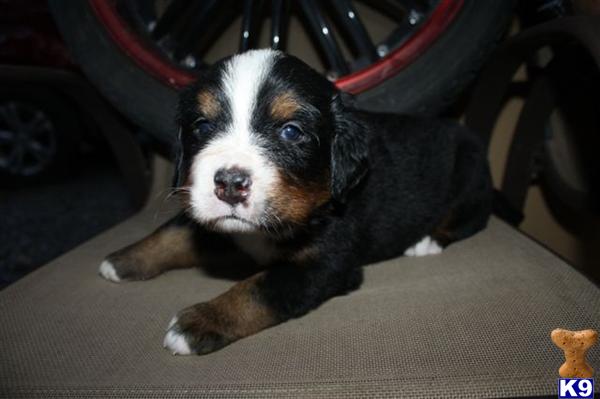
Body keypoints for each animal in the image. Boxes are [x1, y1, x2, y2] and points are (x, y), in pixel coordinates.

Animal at [98, 49, 492, 356]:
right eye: (203, 127)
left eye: (291, 132)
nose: (229, 183)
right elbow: (175, 234)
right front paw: (123, 259)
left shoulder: (324, 265)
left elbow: (257, 289)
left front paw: (200, 321)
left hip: (469, 178)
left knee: (470, 220)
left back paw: (427, 242)